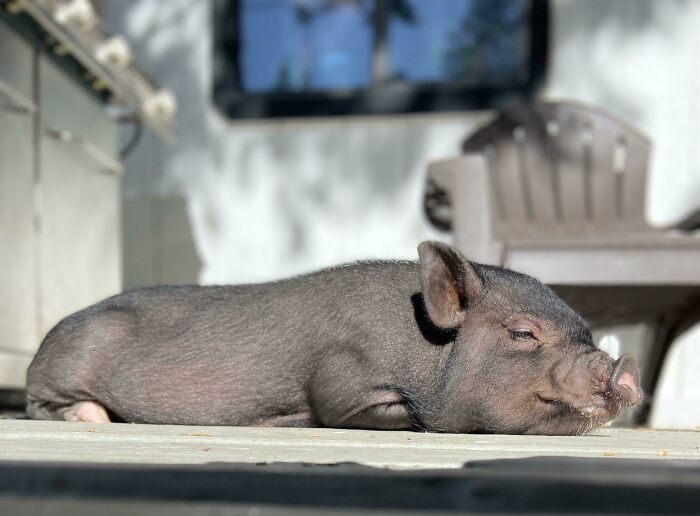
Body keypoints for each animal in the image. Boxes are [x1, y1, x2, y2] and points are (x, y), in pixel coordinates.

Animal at [26, 241, 642, 435]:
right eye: (522, 333)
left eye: (587, 332)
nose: (625, 372)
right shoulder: (343, 377)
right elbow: (354, 408)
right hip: (67, 360)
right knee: (37, 404)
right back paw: (91, 416)